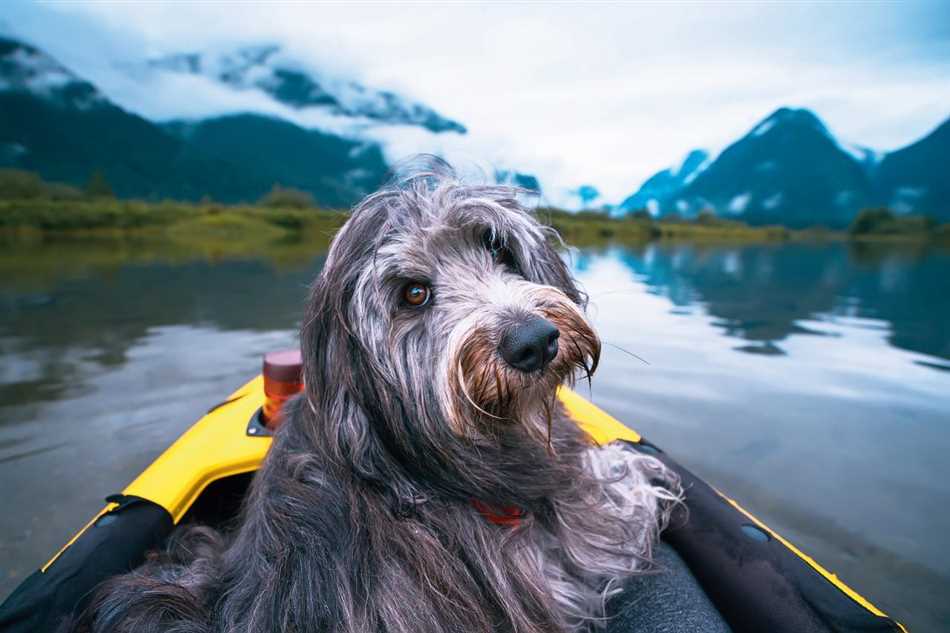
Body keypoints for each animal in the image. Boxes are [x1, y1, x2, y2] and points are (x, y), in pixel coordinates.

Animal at [76, 158, 684, 632]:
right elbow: (624, 495)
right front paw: (632, 466)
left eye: (498, 249)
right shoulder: (563, 554)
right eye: (413, 293)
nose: (534, 342)